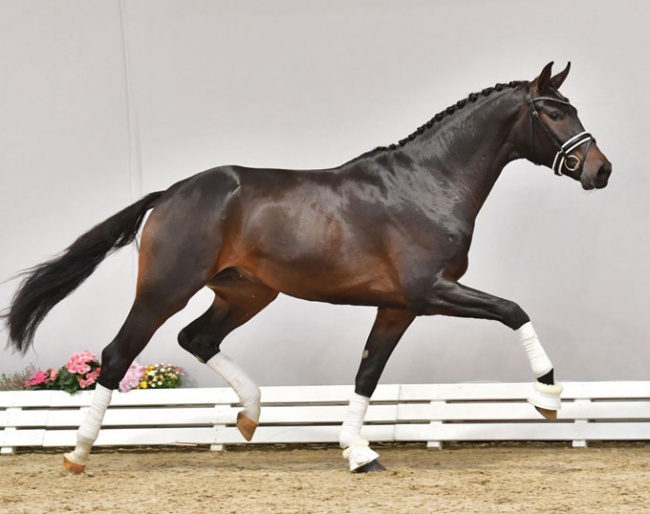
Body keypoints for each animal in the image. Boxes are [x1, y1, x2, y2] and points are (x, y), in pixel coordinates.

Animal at [3, 61, 612, 473]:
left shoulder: (396, 307)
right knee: (117, 354)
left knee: (197, 338)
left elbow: (368, 374)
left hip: (246, 293)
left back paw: (250, 414)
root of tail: (171, 193)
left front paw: (359, 452)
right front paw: (547, 397)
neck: (428, 185)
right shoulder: (431, 292)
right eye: (554, 111)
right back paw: (78, 453)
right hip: (165, 288)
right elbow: (513, 310)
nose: (600, 170)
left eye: (574, 108)